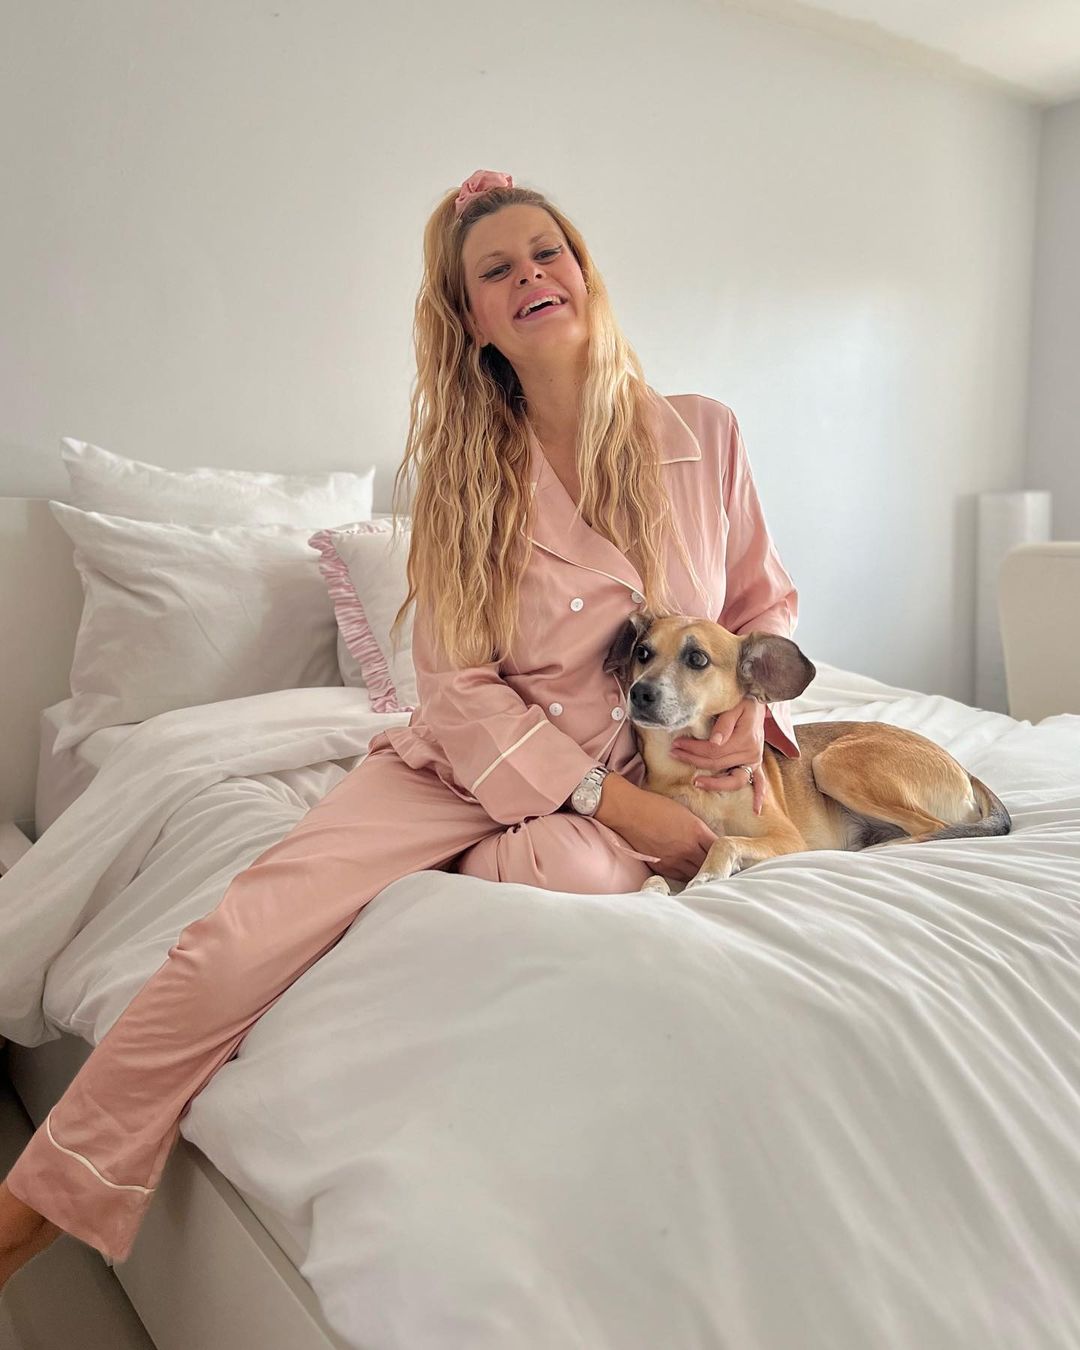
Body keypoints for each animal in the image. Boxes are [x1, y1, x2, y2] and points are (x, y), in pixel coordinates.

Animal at [603, 612, 1012, 893]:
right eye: (642, 653)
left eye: (697, 659)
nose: (639, 692)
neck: (687, 775)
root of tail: (963, 769)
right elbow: (656, 879)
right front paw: (657, 889)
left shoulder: (786, 839)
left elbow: (725, 840)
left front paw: (707, 875)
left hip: (832, 764)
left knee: (934, 827)